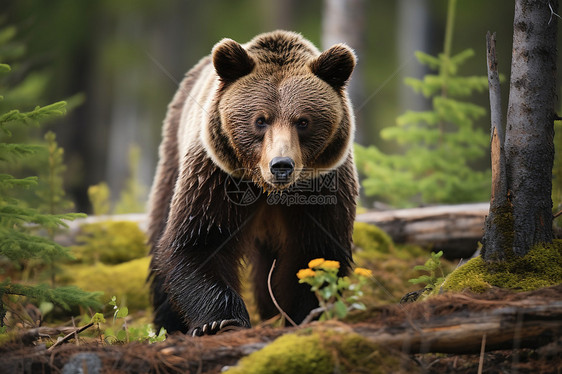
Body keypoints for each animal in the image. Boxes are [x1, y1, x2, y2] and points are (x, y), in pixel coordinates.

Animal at [149, 30, 356, 336]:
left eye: (303, 121)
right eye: (260, 120)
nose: (281, 165)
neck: (268, 190)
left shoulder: (324, 186)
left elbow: (316, 253)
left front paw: (304, 315)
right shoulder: (217, 177)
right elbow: (200, 242)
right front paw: (218, 321)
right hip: (173, 152)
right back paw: (167, 324)